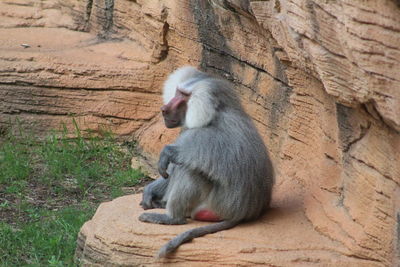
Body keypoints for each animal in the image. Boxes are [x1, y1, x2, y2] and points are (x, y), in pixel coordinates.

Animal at [138, 66, 276, 258]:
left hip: (218, 206)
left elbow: (184, 157)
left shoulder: (202, 137)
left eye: (184, 96)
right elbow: (169, 171)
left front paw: (167, 152)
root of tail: (242, 213)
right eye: (178, 91)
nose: (164, 109)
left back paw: (171, 218)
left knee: (190, 170)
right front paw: (149, 191)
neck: (212, 114)